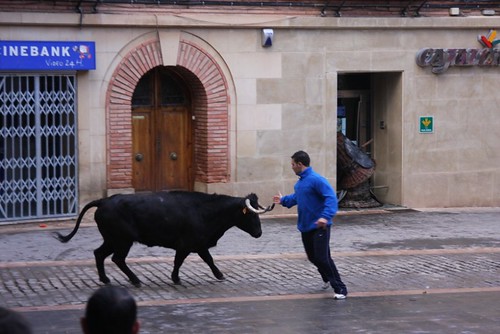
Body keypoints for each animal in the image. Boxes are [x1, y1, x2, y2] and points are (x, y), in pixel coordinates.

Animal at [53, 190, 274, 288]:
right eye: (250, 214)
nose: (259, 233)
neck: (205, 211)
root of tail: (104, 201)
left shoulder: (199, 244)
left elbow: (208, 259)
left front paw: (219, 275)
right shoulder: (188, 244)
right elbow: (181, 261)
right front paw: (176, 278)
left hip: (111, 240)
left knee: (99, 254)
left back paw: (105, 279)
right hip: (122, 241)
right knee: (117, 259)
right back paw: (135, 280)